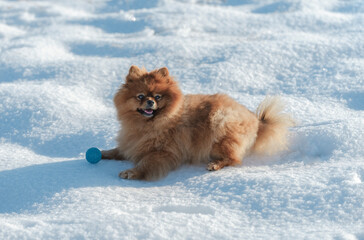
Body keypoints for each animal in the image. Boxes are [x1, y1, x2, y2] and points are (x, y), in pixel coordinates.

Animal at [101, 65, 294, 180]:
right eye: (140, 96)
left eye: (158, 97)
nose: (149, 102)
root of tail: (256, 121)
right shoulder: (131, 143)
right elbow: (116, 151)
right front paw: (102, 153)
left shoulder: (164, 152)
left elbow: (145, 164)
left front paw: (131, 172)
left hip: (220, 127)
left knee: (233, 158)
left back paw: (215, 164)